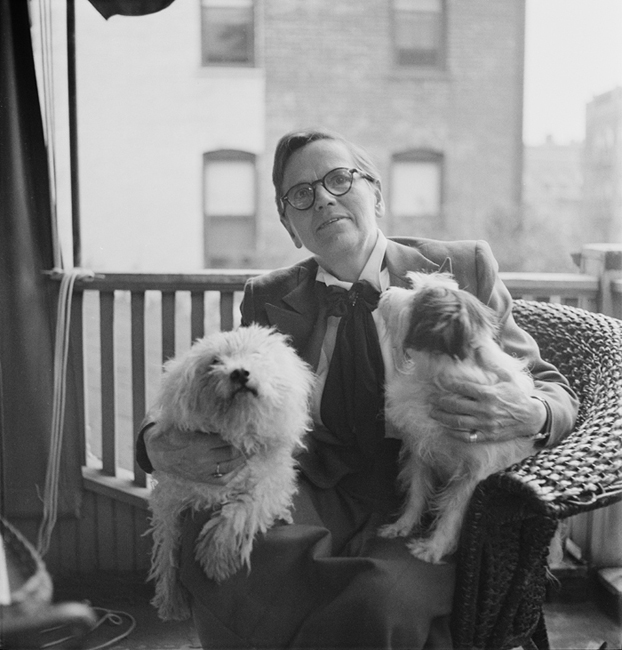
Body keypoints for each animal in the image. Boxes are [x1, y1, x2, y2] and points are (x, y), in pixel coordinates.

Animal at [148, 324, 314, 616]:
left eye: (256, 354)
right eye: (215, 361)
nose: (239, 372)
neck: (238, 428)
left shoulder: (271, 485)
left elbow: (240, 511)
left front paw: (216, 558)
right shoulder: (172, 499)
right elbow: (168, 547)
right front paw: (171, 598)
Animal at [380, 270, 536, 560]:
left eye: (417, 299)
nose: (386, 292)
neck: (434, 377)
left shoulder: (472, 477)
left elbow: (452, 512)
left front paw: (435, 547)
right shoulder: (421, 452)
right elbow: (417, 493)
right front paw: (403, 525)